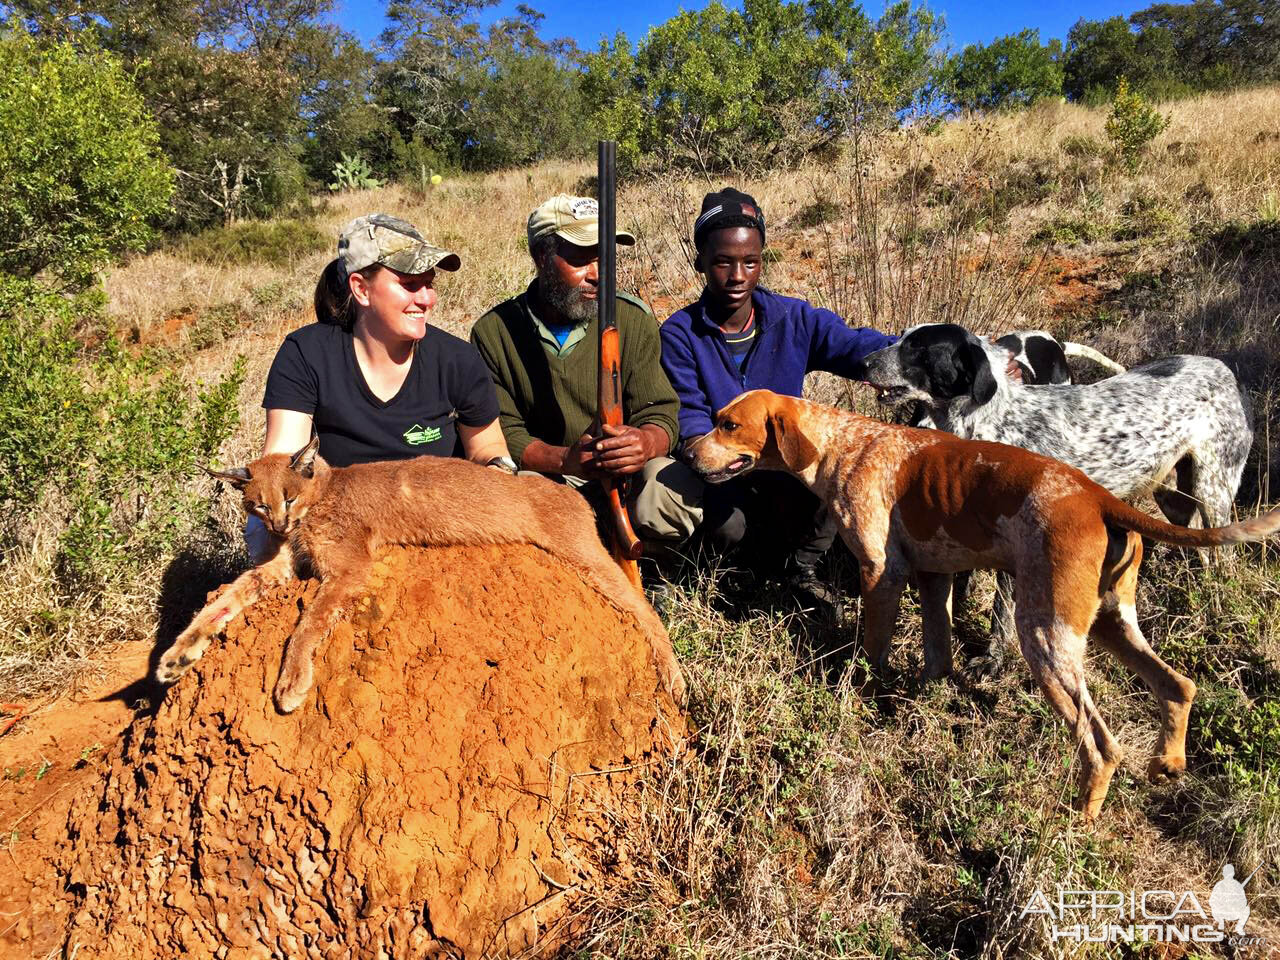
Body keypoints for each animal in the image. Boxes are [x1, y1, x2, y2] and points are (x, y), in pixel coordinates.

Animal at [691, 391, 1280, 819]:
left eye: (729, 425)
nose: (685, 453)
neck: (847, 443)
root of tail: (1097, 496)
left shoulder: (882, 574)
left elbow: (872, 653)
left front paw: (860, 698)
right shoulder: (933, 578)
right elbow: (937, 652)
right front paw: (922, 704)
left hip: (1044, 635)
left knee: (1099, 743)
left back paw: (1078, 819)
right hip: (1110, 622)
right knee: (1178, 686)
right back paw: (1167, 763)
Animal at [865, 323, 1254, 670]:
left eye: (918, 348)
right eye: (901, 337)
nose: (865, 362)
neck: (989, 424)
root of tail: (1224, 370)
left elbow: (1002, 613)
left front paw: (992, 659)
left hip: (1213, 487)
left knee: (1225, 555)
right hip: (1172, 493)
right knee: (1200, 542)